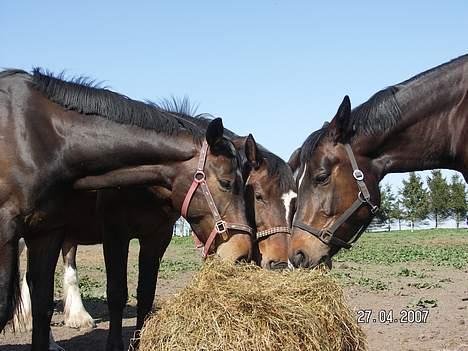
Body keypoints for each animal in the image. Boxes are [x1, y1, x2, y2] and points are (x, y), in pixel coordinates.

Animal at [0, 67, 252, 350]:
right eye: (226, 182)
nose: (242, 252)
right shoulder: (114, 234)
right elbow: (116, 293)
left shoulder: (157, 237)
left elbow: (146, 293)